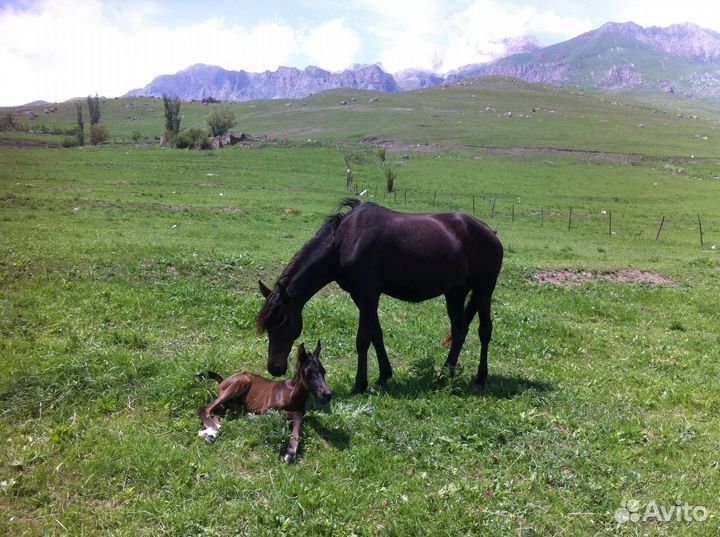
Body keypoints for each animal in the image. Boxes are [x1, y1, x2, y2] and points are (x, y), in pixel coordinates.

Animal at [197, 342, 332, 462]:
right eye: (308, 372)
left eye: (323, 371)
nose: (327, 395)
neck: (291, 395)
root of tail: (224, 380)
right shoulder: (267, 409)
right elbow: (296, 415)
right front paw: (290, 453)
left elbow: (299, 417)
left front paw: (290, 452)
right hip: (241, 383)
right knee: (205, 409)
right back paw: (212, 431)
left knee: (224, 409)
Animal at [260, 199, 506, 392]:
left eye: (283, 324)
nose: (274, 368)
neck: (346, 241)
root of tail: (489, 232)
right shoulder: (359, 295)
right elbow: (376, 334)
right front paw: (384, 376)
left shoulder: (369, 292)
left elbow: (362, 338)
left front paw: (360, 384)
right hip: (455, 292)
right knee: (459, 329)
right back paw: (445, 374)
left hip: (484, 289)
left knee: (484, 330)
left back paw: (480, 377)